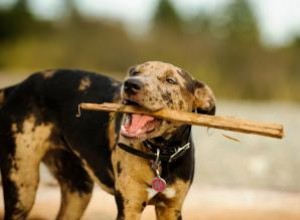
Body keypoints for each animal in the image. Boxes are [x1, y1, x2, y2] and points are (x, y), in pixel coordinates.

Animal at [0, 61, 216, 219]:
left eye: (171, 80)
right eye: (135, 71)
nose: (130, 84)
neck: (160, 154)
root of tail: (18, 87)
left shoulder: (171, 208)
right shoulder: (130, 206)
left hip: (78, 191)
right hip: (21, 187)